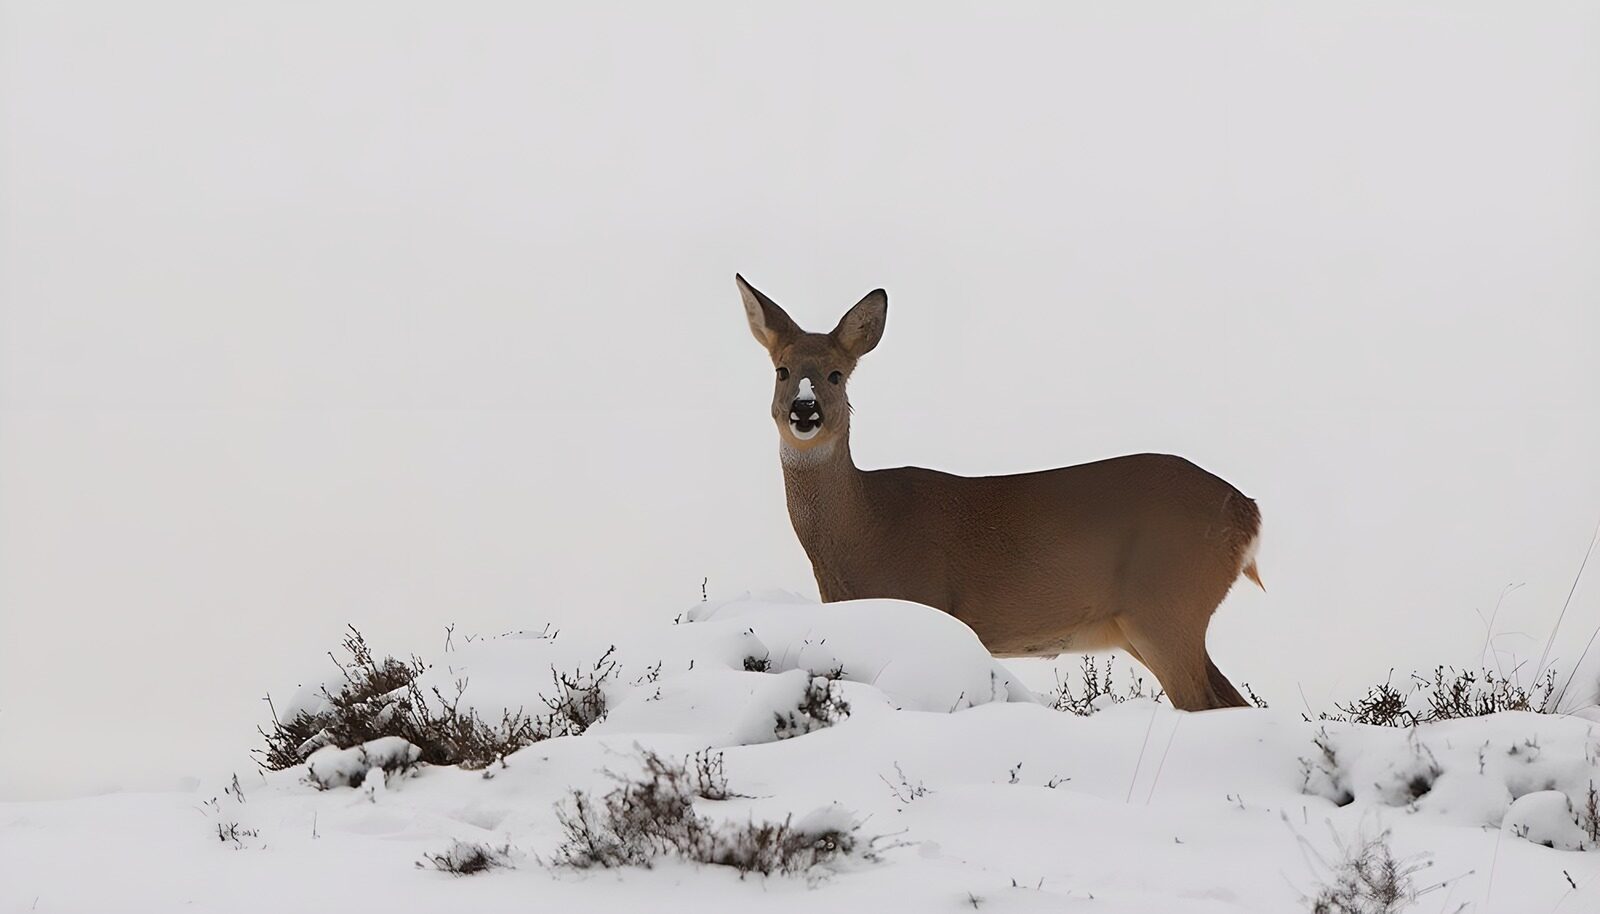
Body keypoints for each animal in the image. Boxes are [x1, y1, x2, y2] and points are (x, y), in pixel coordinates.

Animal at [736, 274, 1265, 711]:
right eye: (782, 371)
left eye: (836, 374)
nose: (805, 410)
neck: (866, 527)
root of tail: (1248, 513)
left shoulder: (926, 602)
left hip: (1167, 603)